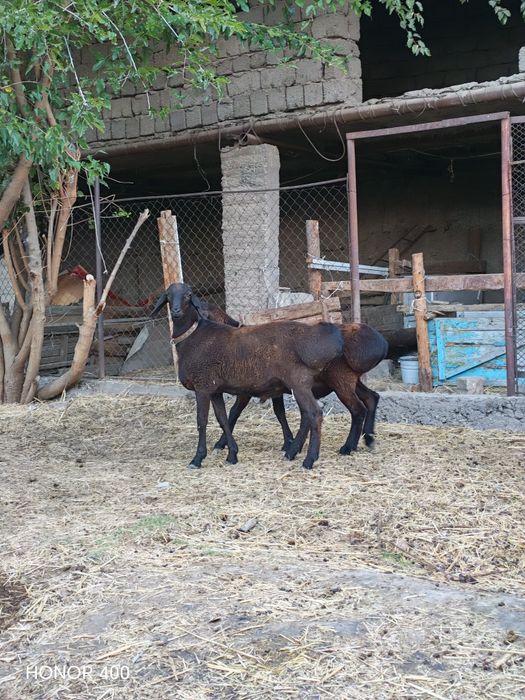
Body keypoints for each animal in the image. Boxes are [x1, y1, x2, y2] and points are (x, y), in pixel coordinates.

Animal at [151, 283, 345, 470]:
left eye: (188, 295)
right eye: (168, 295)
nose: (176, 311)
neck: (191, 336)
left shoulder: (203, 386)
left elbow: (202, 421)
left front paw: (198, 458)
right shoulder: (215, 389)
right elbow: (224, 419)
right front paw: (232, 454)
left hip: (299, 382)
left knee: (315, 414)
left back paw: (309, 459)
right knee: (308, 415)